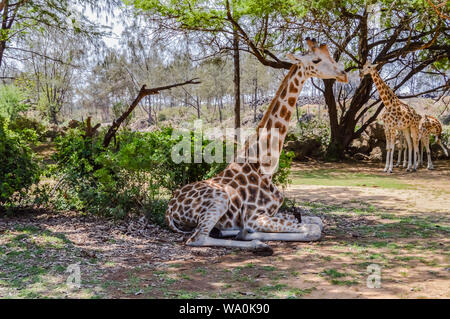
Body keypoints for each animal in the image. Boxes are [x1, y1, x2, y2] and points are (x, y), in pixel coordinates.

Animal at [166, 38, 348, 252]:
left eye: (331, 56)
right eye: (316, 60)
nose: (343, 73)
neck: (264, 167)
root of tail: (169, 209)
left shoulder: (273, 212)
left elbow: (316, 221)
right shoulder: (255, 216)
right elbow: (312, 230)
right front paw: (248, 234)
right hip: (219, 199)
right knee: (197, 237)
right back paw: (258, 244)